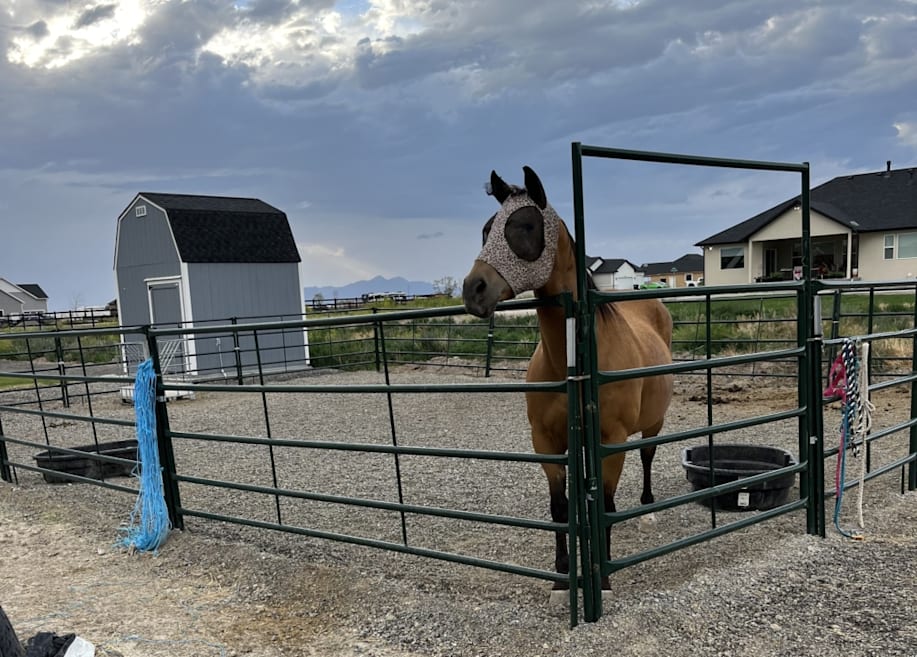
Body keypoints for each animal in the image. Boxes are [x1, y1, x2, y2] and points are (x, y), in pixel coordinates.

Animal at [462, 165, 668, 588]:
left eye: (525, 226)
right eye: (486, 230)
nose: (473, 289)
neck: (571, 361)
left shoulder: (612, 439)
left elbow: (605, 502)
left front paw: (602, 578)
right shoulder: (547, 441)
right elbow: (561, 508)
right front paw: (561, 576)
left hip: (652, 423)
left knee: (647, 456)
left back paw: (647, 509)